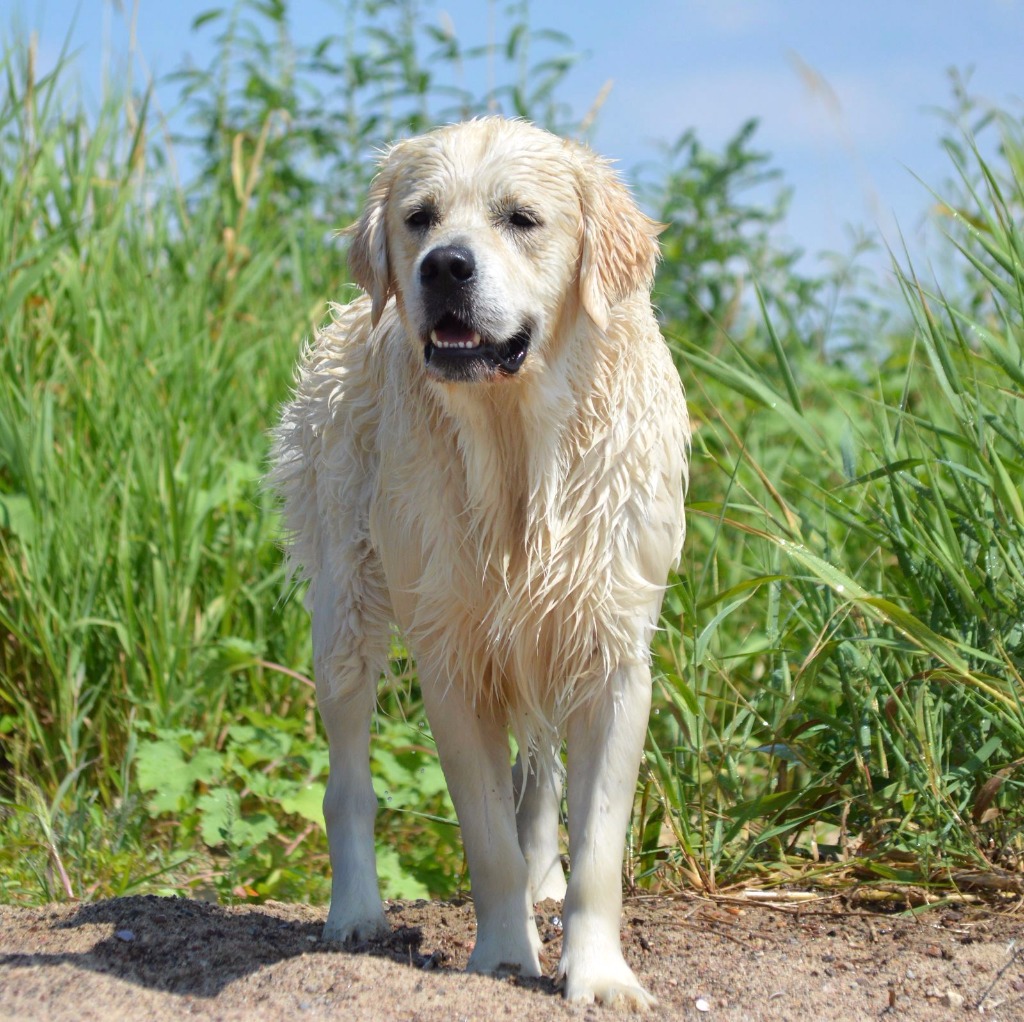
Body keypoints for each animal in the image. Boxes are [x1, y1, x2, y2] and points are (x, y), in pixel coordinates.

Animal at [270, 118, 689, 1008]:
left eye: (522, 218)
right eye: (420, 218)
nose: (444, 266)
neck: (517, 443)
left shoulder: (611, 654)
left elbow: (596, 848)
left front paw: (599, 974)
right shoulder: (452, 658)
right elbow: (487, 838)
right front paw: (502, 956)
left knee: (541, 783)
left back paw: (545, 883)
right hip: (346, 613)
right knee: (347, 785)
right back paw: (356, 913)